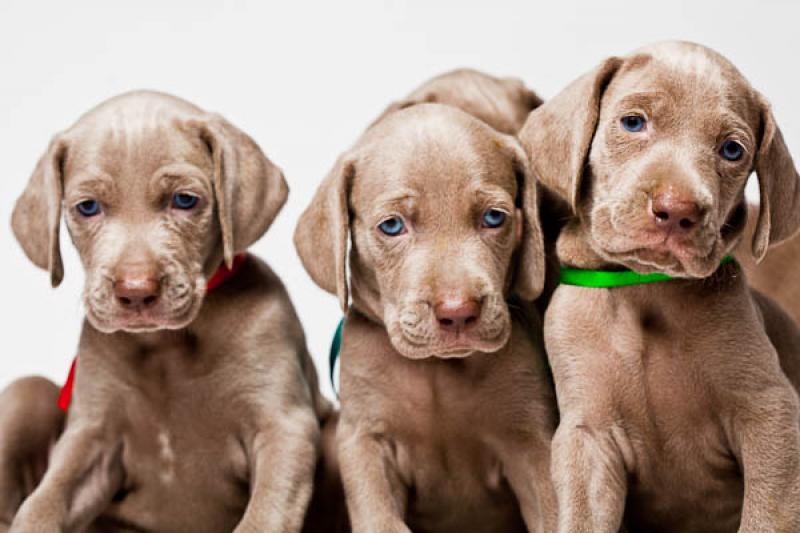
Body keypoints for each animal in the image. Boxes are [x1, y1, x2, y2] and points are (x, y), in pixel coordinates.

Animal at [0, 89, 332, 528]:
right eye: (87, 207)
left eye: (184, 201)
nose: (136, 291)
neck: (166, 345)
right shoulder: (91, 438)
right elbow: (42, 503)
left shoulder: (282, 427)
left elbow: (264, 517)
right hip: (27, 393)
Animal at [292, 72, 556, 528]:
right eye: (392, 226)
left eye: (494, 217)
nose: (458, 312)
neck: (438, 371)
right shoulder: (365, 441)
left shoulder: (531, 443)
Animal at [520, 41, 800, 532]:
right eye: (633, 122)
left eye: (732, 149)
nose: (677, 209)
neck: (643, 288)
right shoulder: (587, 437)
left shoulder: (771, 413)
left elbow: (767, 515)